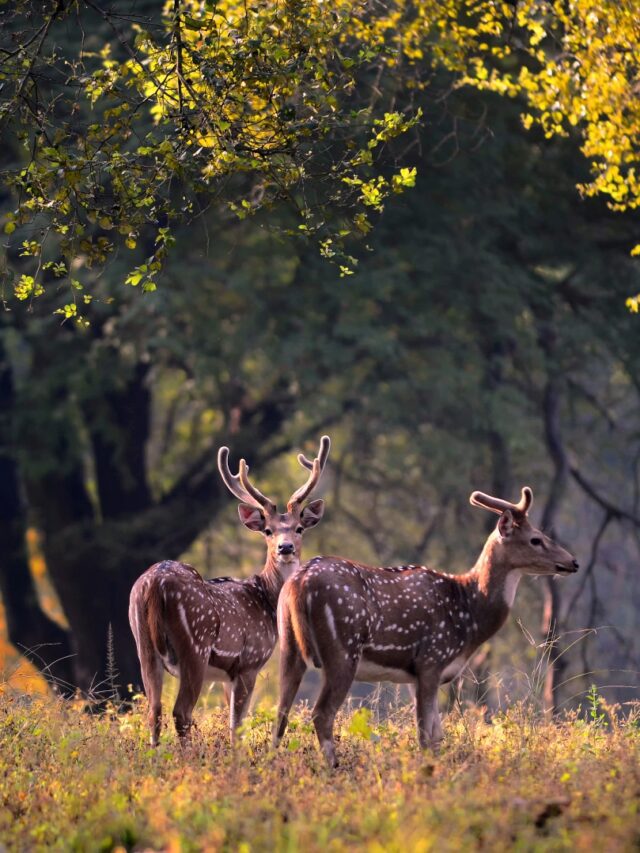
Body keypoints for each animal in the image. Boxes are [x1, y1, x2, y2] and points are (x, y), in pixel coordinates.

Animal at [129, 436, 330, 744]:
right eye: (268, 531)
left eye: (299, 528)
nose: (285, 548)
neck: (266, 599)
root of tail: (153, 584)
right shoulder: (249, 662)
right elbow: (238, 725)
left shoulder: (227, 676)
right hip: (195, 647)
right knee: (181, 712)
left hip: (143, 645)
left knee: (154, 711)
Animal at [272, 486, 576, 764]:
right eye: (536, 539)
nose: (573, 561)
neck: (469, 615)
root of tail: (299, 583)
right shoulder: (432, 659)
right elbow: (425, 735)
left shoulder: (414, 673)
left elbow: (437, 734)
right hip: (342, 649)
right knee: (322, 713)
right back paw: (333, 767)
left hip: (288, 644)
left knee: (281, 711)